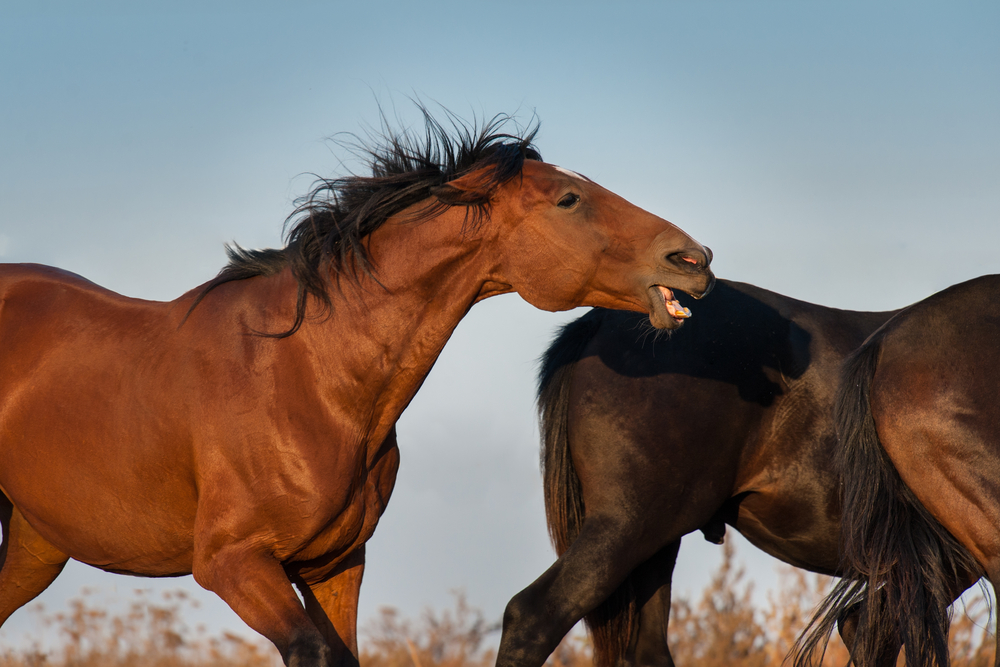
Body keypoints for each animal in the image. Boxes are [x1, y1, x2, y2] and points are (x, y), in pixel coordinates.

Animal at [1, 111, 720, 667]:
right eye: (569, 199)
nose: (694, 259)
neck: (306, 378)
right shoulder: (234, 564)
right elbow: (312, 651)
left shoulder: (336, 565)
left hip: (35, 546)